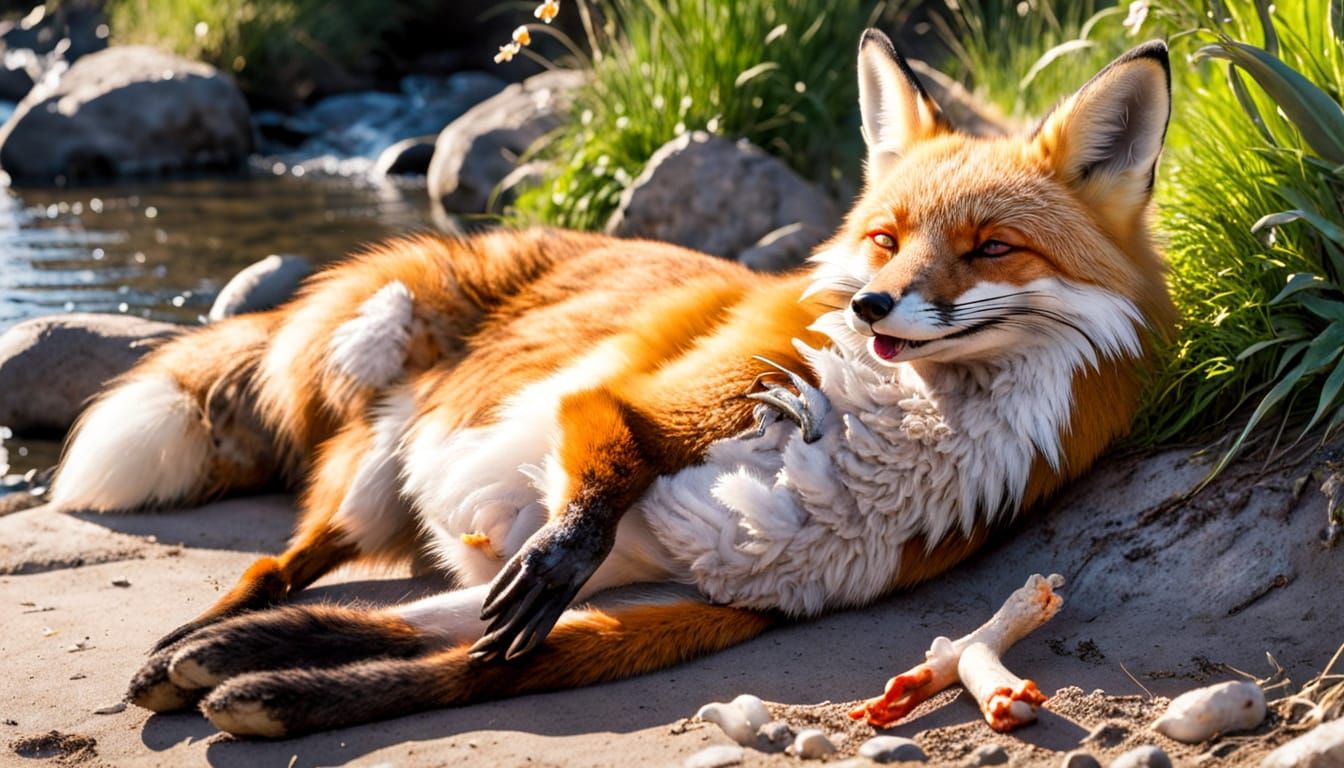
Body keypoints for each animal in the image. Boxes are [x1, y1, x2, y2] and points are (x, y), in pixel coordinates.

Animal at [47, 30, 1174, 738]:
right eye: (886, 240)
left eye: (990, 248)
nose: (870, 307)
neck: (875, 443)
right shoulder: (617, 409)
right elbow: (601, 469)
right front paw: (230, 662)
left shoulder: (712, 605)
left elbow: (453, 661)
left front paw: (277, 691)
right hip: (371, 416)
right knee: (278, 563)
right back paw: (196, 632)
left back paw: (213, 650)